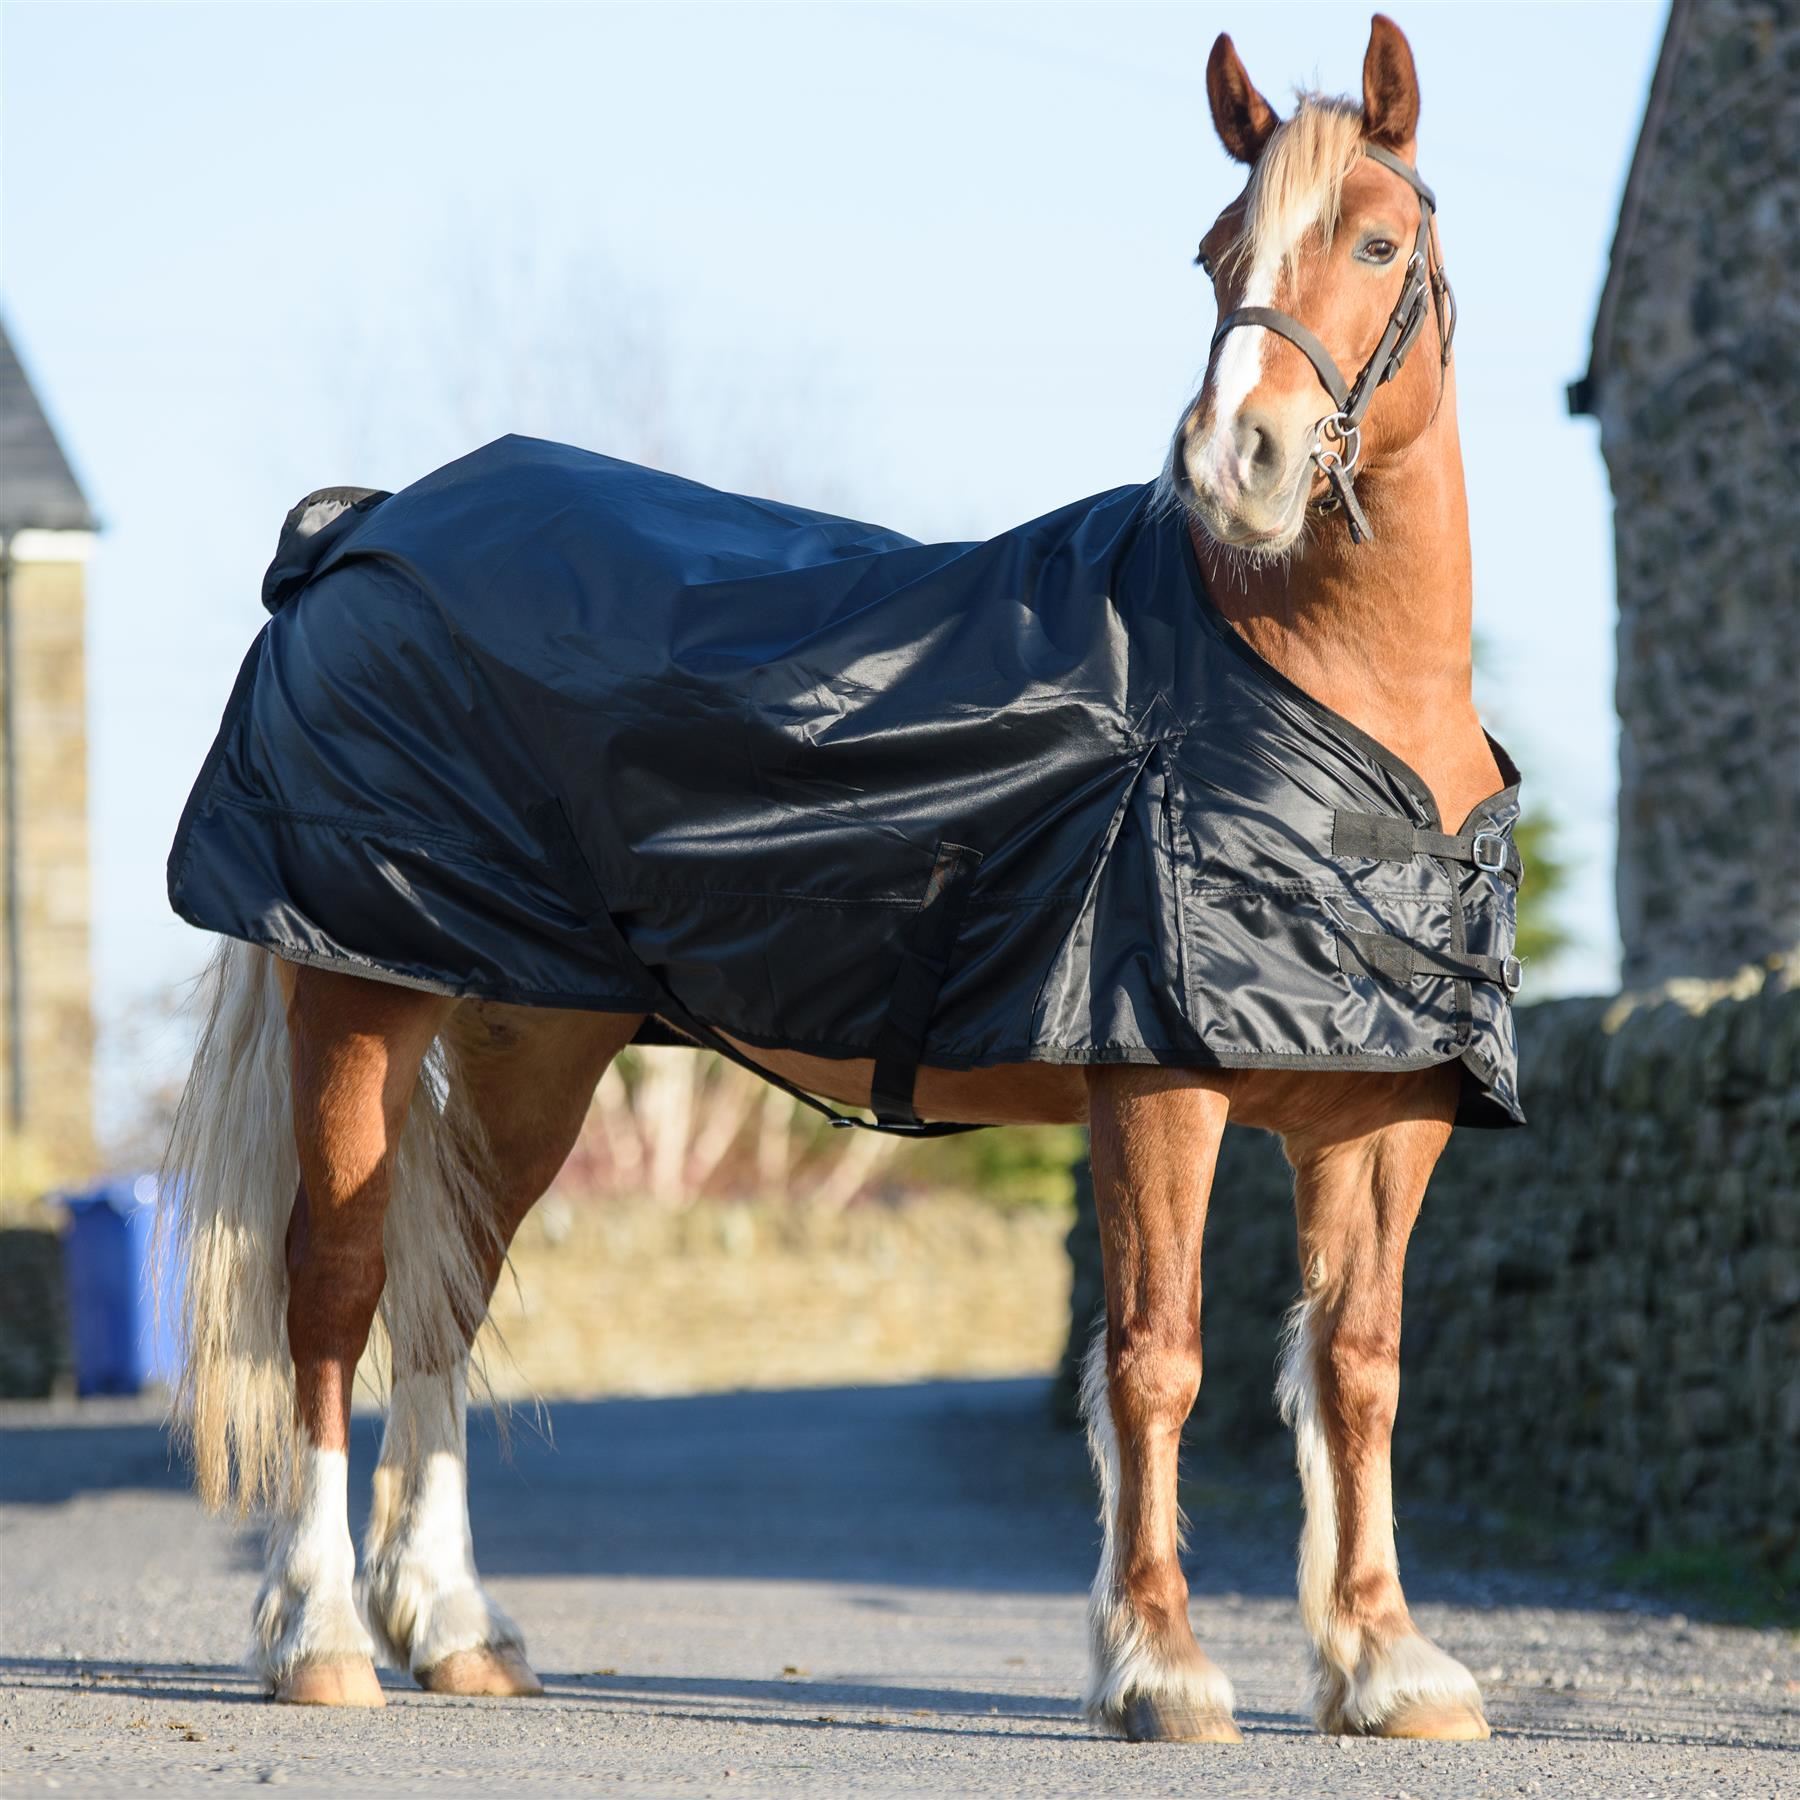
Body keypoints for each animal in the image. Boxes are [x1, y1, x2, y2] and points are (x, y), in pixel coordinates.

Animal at [163, 13, 1503, 1743]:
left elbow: (1357, 1366)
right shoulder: (1158, 1084)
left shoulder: (1384, 1118)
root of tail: (359, 527)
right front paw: (1159, 1664)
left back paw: (457, 1627)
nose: (1237, 461)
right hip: (360, 996)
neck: (1309, 704)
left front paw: (1388, 1661)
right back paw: (323, 1634)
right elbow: (1157, 1354)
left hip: (533, 1034)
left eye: (1380, 241)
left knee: (444, 1292)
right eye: (1218, 253)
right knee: (333, 1288)